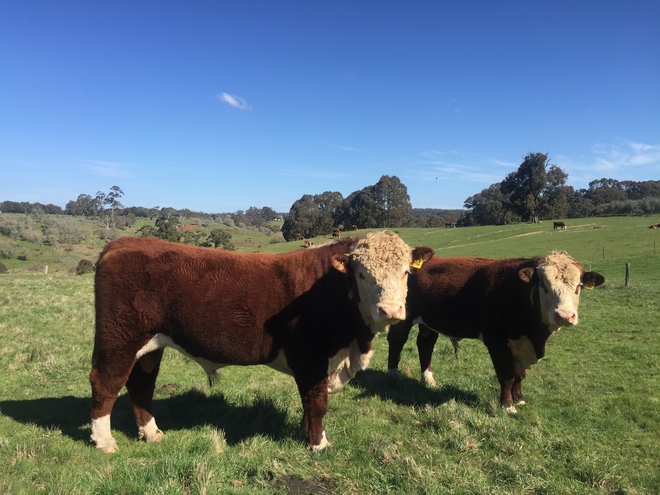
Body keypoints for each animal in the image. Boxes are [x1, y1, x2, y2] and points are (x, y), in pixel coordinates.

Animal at [90, 232, 434, 453]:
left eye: (406, 272)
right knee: (105, 383)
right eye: (362, 274)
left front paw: (305, 433)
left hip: (151, 345)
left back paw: (151, 434)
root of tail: (120, 244)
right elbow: (317, 402)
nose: (390, 310)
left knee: (141, 384)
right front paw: (319, 443)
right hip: (119, 338)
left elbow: (309, 402)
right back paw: (105, 442)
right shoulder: (311, 357)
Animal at [386, 252, 604, 412]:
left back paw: (428, 379)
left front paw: (519, 399)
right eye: (544, 285)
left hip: (429, 322)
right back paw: (393, 376)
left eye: (579, 286)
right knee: (396, 341)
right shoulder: (496, 341)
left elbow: (519, 375)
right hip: (403, 316)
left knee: (425, 344)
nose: (565, 316)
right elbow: (506, 374)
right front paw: (507, 405)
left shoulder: (520, 345)